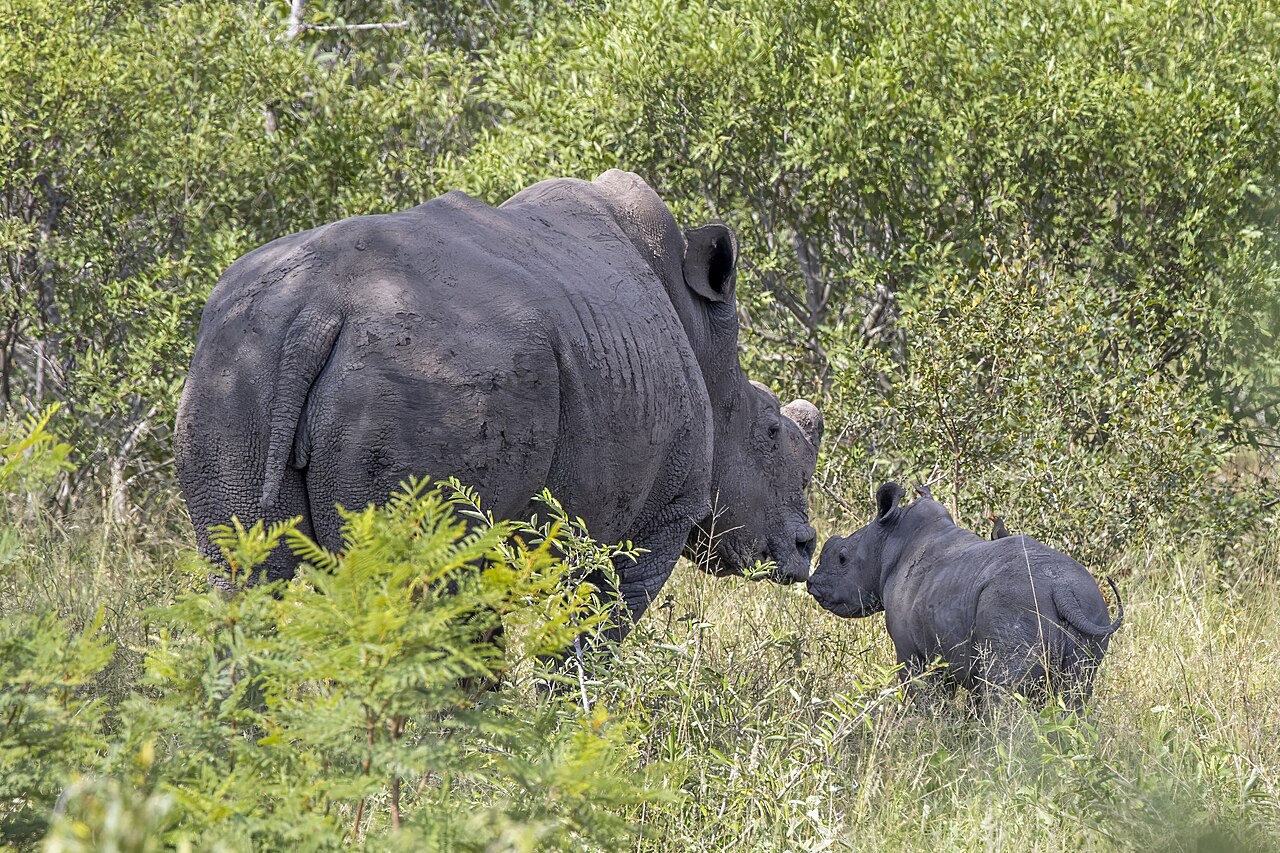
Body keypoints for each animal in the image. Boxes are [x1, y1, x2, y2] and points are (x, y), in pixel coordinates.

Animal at [175, 170, 822, 643]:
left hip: (238, 354)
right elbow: (594, 632)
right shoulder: (653, 520)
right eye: (769, 432)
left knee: (244, 582)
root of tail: (318, 309)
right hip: (434, 373)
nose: (804, 549)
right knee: (424, 591)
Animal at [808, 483, 1123, 708]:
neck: (889, 544)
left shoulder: (912, 651)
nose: (813, 584)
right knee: (1076, 692)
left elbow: (923, 696)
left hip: (1013, 603)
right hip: (1090, 604)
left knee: (1003, 691)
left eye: (842, 558)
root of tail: (1062, 590)